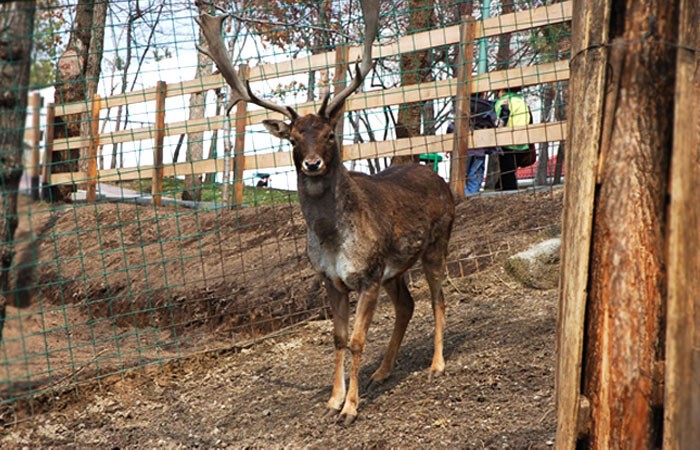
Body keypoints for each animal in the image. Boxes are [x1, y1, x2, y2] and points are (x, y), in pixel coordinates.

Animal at [198, 0, 454, 426]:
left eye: (330, 134)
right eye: (294, 137)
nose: (313, 164)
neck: (333, 240)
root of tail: (439, 176)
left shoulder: (367, 276)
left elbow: (357, 340)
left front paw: (350, 408)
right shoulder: (331, 280)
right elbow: (337, 338)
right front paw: (334, 399)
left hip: (438, 243)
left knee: (438, 298)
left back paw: (437, 365)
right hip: (395, 268)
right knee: (407, 305)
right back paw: (383, 372)